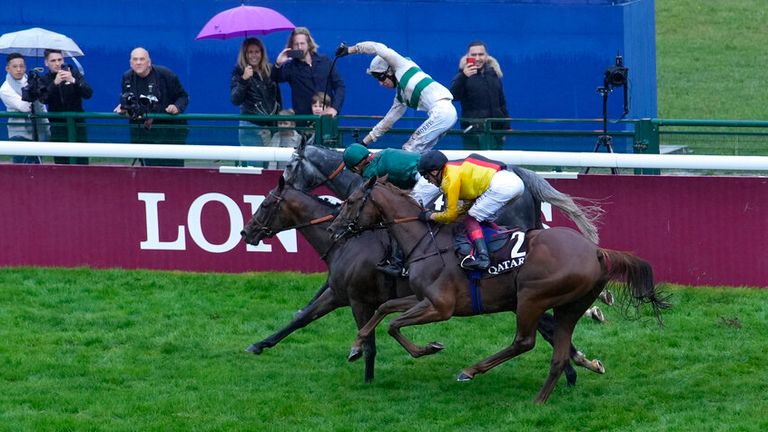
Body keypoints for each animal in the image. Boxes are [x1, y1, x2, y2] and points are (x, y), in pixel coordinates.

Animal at [242, 178, 608, 384]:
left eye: (264, 204)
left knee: (539, 333)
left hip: (524, 299)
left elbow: (372, 335)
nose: (246, 232)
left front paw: (365, 370)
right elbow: (302, 318)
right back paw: (576, 366)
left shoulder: (361, 299)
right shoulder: (341, 293)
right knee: (550, 330)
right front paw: (259, 344)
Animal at [328, 177, 668, 404]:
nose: (333, 229)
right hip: (568, 307)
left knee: (524, 341)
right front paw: (356, 346)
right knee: (557, 354)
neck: (424, 241)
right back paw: (540, 399)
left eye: (350, 202)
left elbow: (395, 326)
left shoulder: (441, 306)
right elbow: (384, 310)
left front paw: (429, 348)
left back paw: (471, 370)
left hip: (531, 298)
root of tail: (596, 251)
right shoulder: (421, 297)